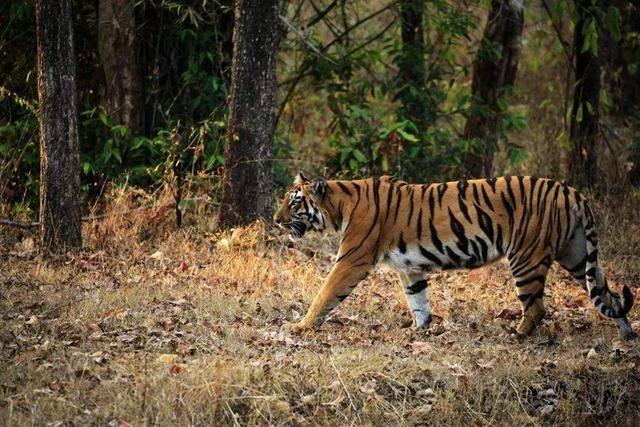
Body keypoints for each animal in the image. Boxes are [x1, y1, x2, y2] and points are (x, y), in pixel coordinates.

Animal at [272, 173, 636, 342]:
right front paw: (419, 331)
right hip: (576, 255)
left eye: (294, 202)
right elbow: (418, 301)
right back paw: (627, 335)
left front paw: (300, 325)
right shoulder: (409, 268)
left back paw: (516, 335)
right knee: (609, 294)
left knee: (537, 308)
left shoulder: (351, 259)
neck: (340, 205)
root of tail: (571, 191)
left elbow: (325, 294)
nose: (275, 220)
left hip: (526, 257)